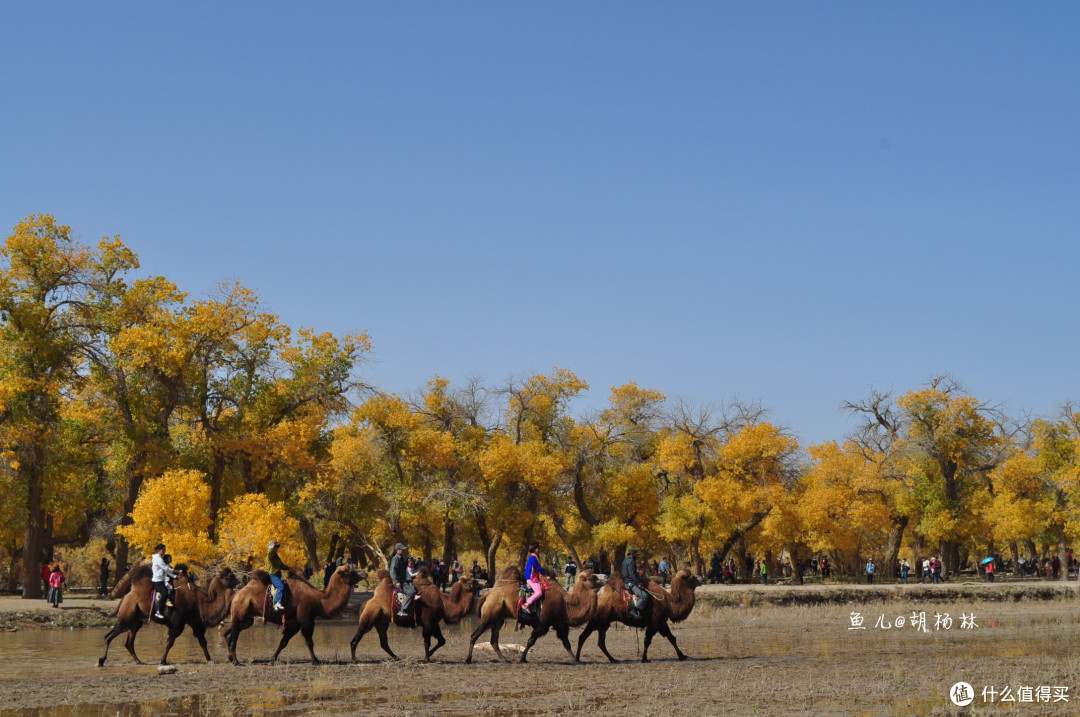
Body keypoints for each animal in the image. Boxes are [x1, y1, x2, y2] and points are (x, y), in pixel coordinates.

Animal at [98, 565, 239, 665]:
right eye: (229, 576)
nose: (238, 580)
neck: (199, 601)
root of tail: (125, 597)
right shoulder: (177, 622)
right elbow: (170, 642)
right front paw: (163, 660)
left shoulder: (195, 622)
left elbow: (203, 641)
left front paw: (209, 659)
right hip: (126, 618)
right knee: (109, 636)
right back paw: (101, 660)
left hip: (136, 621)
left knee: (129, 642)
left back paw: (138, 661)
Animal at [225, 561, 365, 665]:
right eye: (350, 571)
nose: (364, 573)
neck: (319, 599)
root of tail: (236, 595)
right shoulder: (306, 618)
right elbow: (309, 641)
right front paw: (315, 660)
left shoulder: (294, 623)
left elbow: (283, 642)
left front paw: (272, 659)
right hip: (240, 611)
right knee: (233, 637)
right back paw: (236, 661)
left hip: (247, 619)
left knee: (231, 633)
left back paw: (231, 658)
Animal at [349, 570, 477, 665]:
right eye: (471, 581)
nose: (480, 581)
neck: (443, 603)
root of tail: (368, 602)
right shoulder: (428, 622)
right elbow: (427, 642)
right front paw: (427, 658)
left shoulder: (434, 623)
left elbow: (442, 640)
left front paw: (429, 654)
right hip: (368, 618)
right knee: (356, 638)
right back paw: (354, 660)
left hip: (381, 622)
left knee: (384, 642)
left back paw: (397, 658)